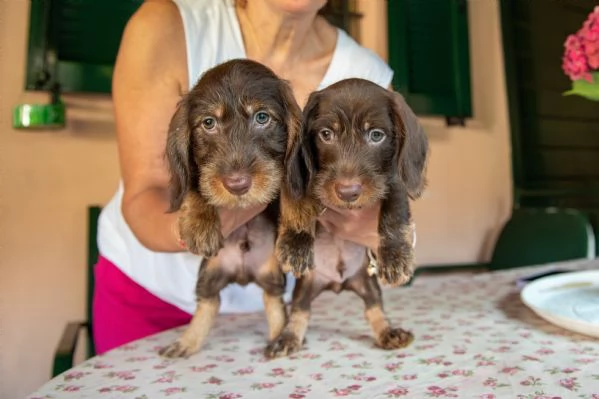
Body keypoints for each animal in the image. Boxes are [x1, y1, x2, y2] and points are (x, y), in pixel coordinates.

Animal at [159, 59, 302, 360]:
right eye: (208, 123)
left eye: (262, 117)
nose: (237, 184)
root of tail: (242, 272)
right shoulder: (195, 176)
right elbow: (196, 187)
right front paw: (200, 224)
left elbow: (293, 193)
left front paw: (296, 241)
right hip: (209, 273)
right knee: (208, 304)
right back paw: (187, 342)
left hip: (272, 275)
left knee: (274, 303)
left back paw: (279, 338)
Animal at [264, 76, 428, 358]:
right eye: (326, 134)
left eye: (376, 135)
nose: (347, 192)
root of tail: (338, 283)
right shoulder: (302, 177)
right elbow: (298, 202)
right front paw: (296, 242)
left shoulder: (393, 180)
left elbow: (394, 213)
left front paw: (396, 257)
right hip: (306, 285)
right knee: (300, 312)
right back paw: (288, 337)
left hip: (367, 284)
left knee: (374, 308)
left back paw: (388, 332)